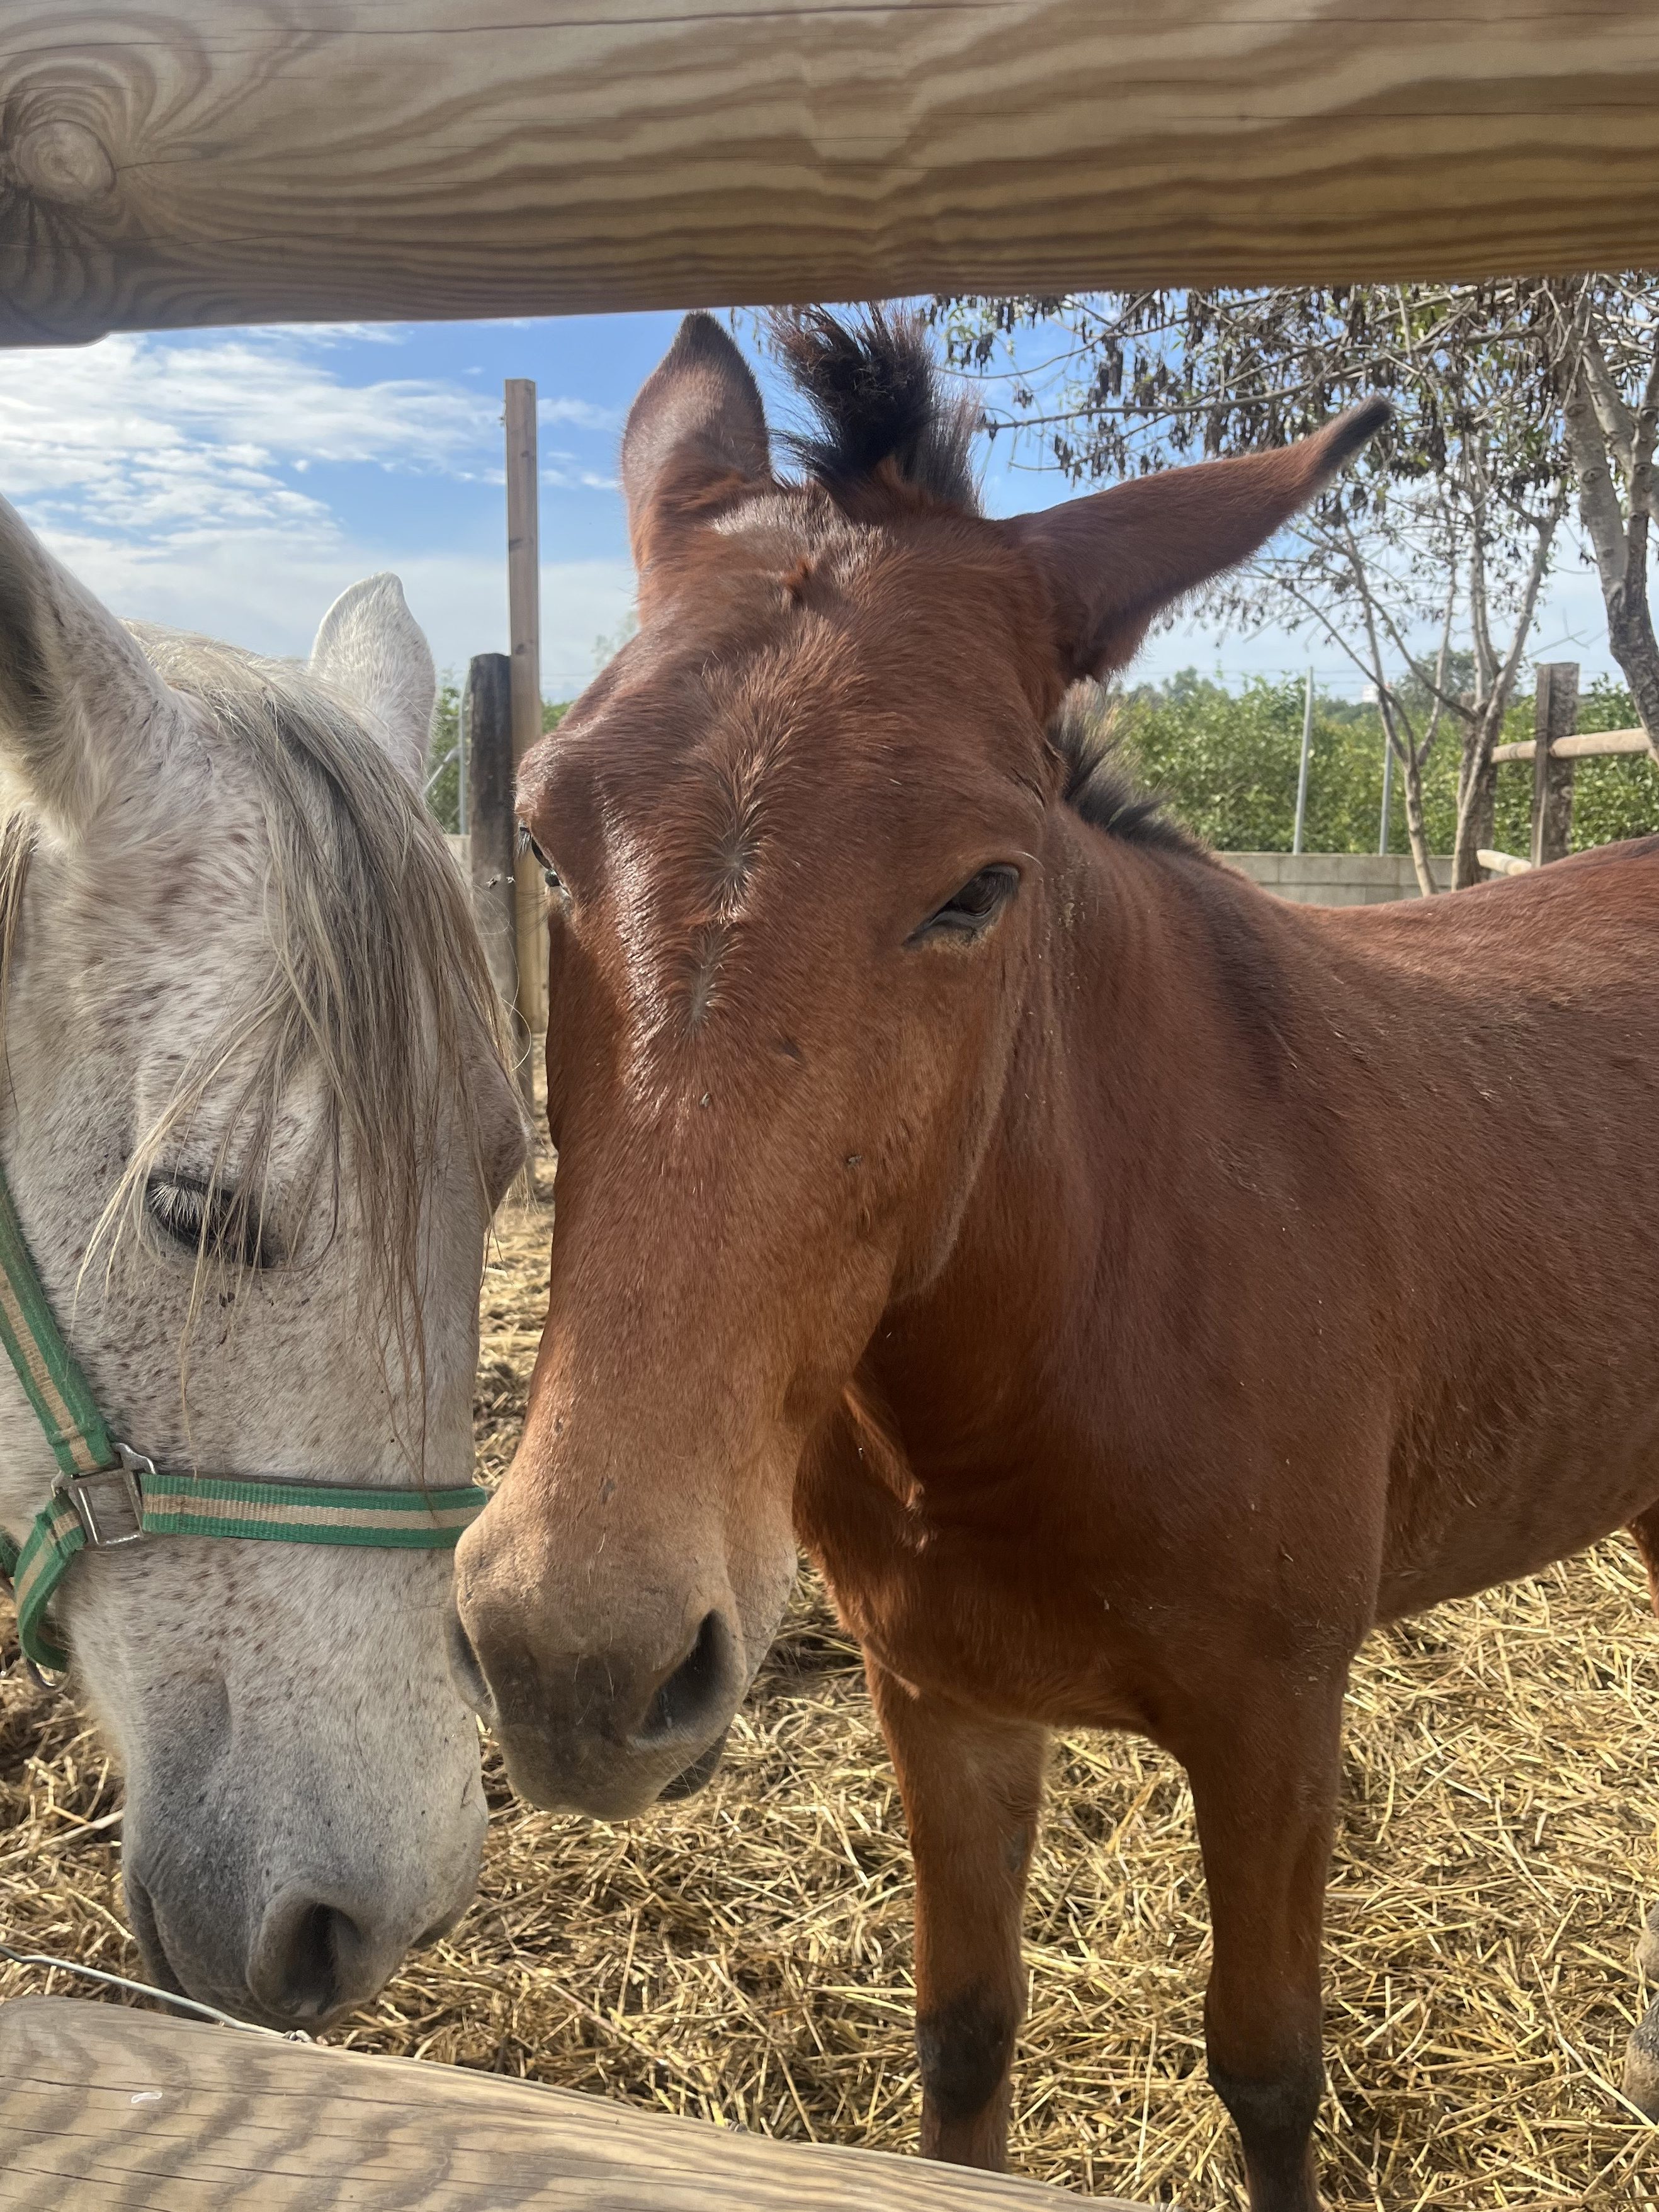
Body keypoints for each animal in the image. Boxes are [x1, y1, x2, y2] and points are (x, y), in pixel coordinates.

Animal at [454, 307, 1659, 2212]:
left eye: (980, 884)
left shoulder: (1273, 1725)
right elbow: (963, 2037)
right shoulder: (941, 1701)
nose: (575, 1653)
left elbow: (1268, 2072)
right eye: (540, 833)